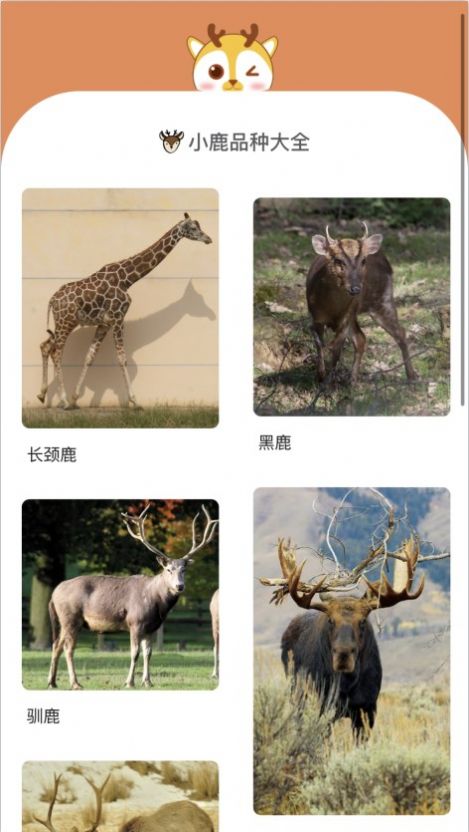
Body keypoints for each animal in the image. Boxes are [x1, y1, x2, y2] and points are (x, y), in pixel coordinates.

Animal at [46, 505, 218, 690]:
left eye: (184, 570)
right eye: (168, 570)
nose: (180, 586)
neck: (157, 604)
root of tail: (54, 593)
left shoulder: (152, 627)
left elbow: (148, 653)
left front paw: (148, 681)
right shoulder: (135, 622)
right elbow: (135, 653)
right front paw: (129, 682)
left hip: (64, 621)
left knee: (56, 644)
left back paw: (52, 682)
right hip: (71, 617)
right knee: (68, 648)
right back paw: (75, 683)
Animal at [306, 221, 417, 384]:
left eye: (363, 261)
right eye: (338, 260)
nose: (356, 288)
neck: (331, 309)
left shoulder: (345, 318)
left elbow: (336, 350)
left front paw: (328, 384)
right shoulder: (315, 316)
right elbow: (319, 344)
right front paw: (320, 376)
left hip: (383, 299)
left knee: (400, 333)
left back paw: (411, 376)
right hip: (359, 311)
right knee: (361, 338)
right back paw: (352, 381)